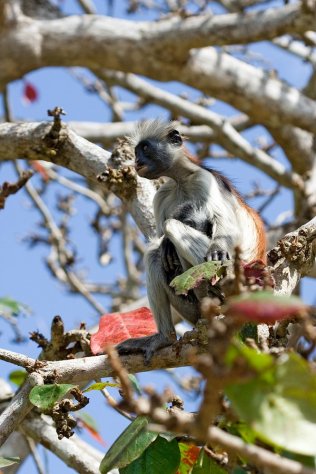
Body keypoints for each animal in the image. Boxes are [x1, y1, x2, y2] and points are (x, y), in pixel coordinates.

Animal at [117, 120, 266, 362]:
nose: (137, 161)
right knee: (154, 256)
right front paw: (166, 245)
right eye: (136, 152)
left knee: (175, 228)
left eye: (145, 149)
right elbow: (160, 238)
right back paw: (165, 338)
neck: (181, 181)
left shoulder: (204, 180)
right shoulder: (163, 194)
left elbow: (225, 226)